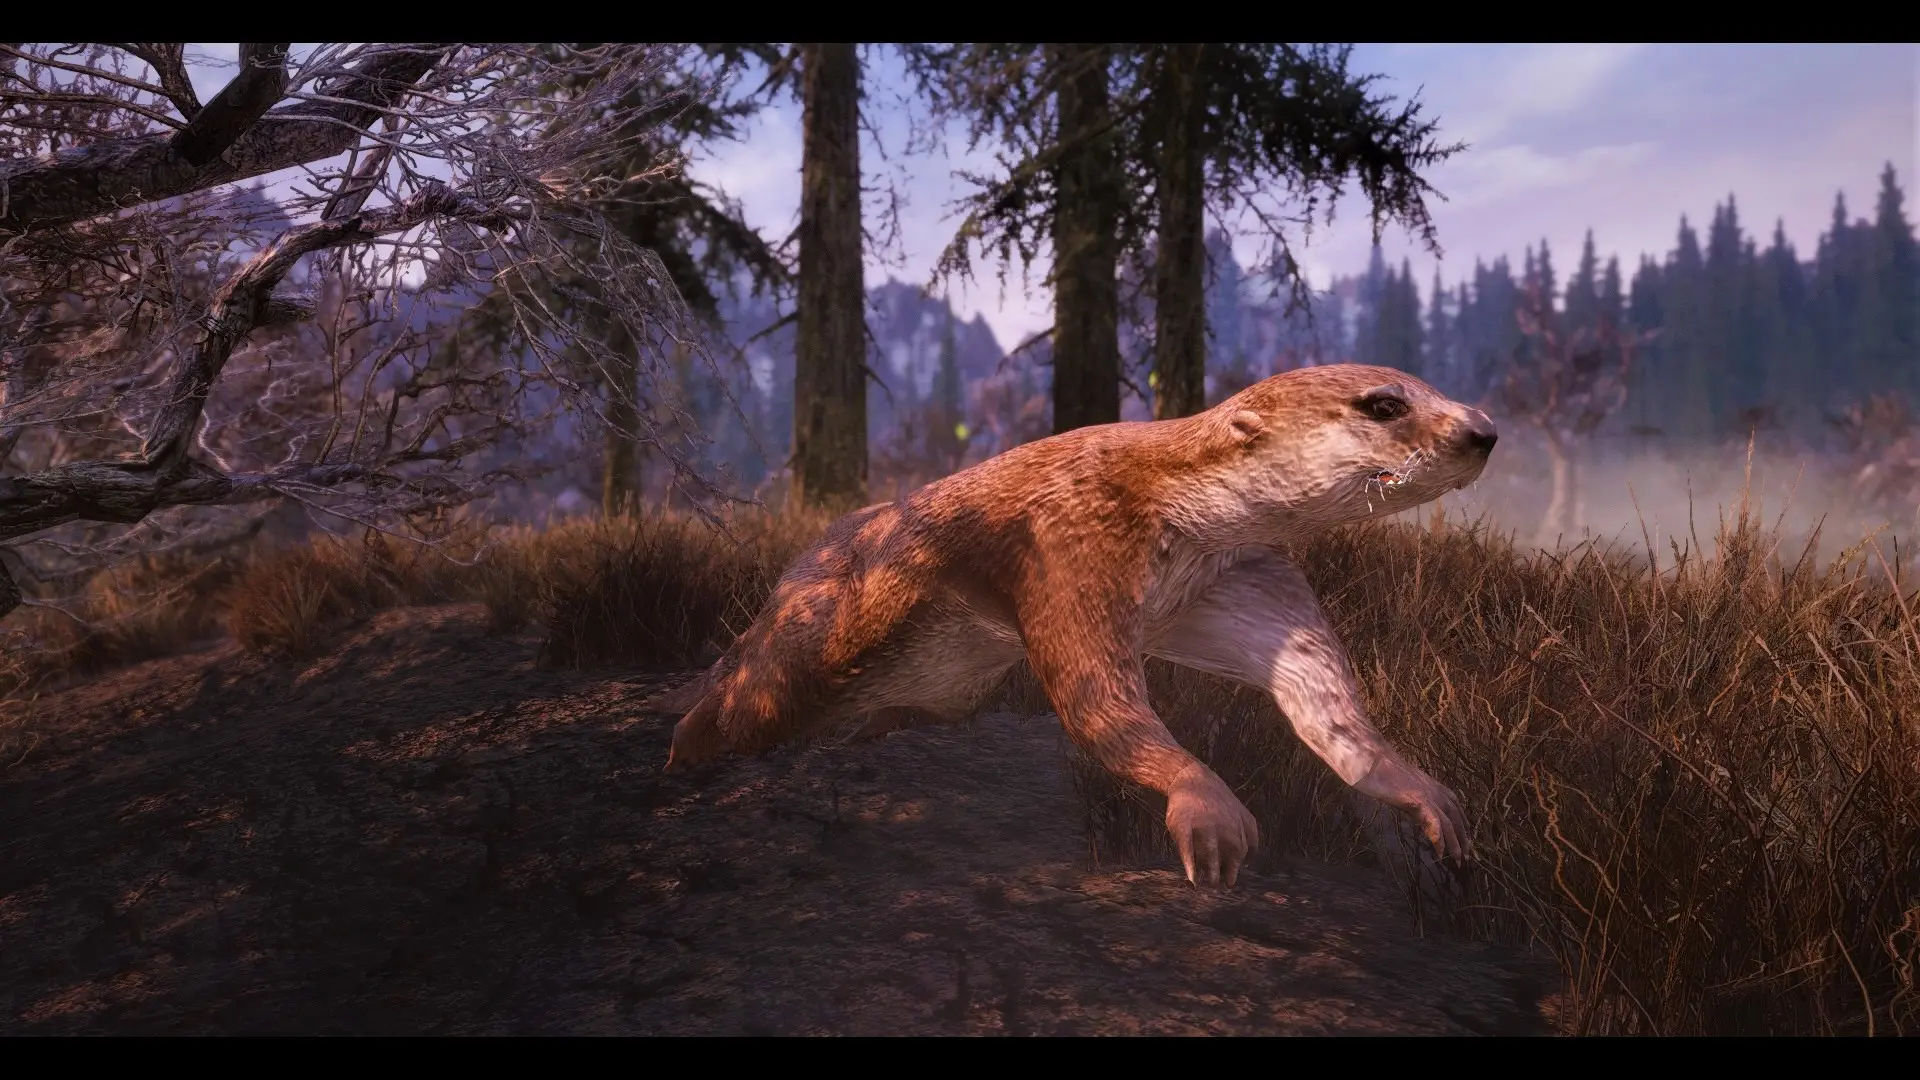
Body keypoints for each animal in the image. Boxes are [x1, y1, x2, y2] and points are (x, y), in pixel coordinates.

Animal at [664, 363, 1497, 888]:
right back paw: (683, 751)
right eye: (1384, 404)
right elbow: (1098, 704)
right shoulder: (1071, 545)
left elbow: (1319, 695)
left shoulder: (1250, 579)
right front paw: (1207, 802)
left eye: (1432, 388)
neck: (1172, 502)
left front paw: (1420, 792)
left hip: (938, 686)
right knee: (733, 700)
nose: (1483, 428)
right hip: (803, 651)